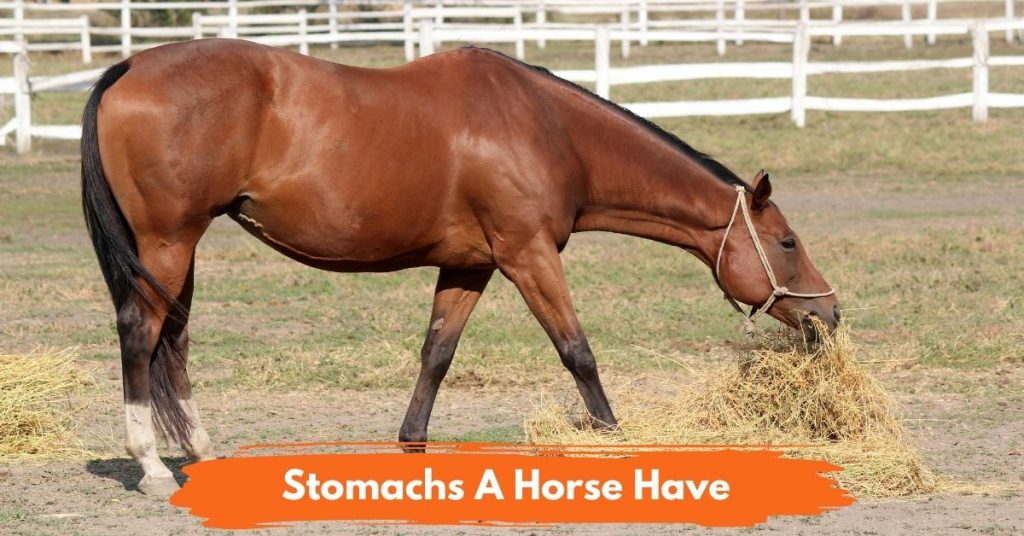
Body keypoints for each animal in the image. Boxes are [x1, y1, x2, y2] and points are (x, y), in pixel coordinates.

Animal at [81, 39, 839, 497]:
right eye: (788, 241)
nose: (828, 314)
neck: (547, 129)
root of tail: (131, 68)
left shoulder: (471, 266)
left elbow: (436, 355)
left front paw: (412, 447)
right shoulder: (527, 255)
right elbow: (577, 351)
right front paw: (612, 438)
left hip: (178, 251)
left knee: (174, 342)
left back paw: (202, 452)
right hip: (169, 243)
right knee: (141, 336)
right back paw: (153, 467)